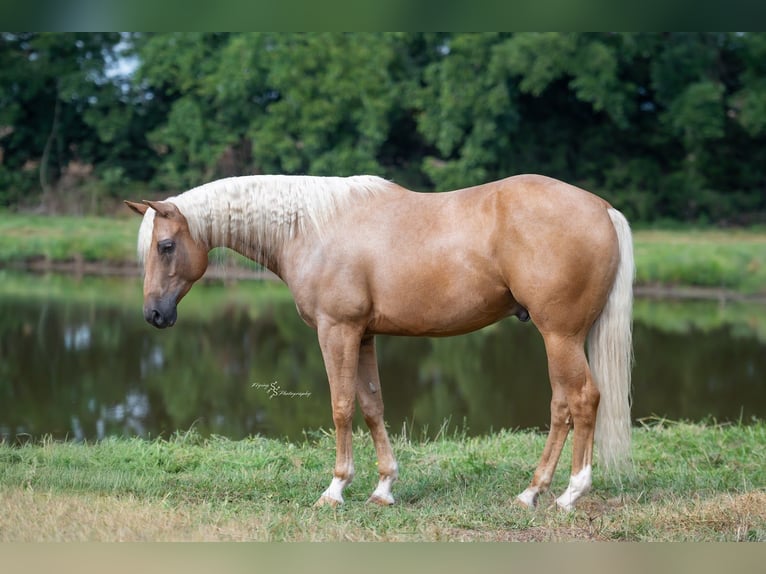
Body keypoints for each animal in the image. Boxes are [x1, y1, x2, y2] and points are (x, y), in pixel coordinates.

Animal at [126, 173, 633, 511]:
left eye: (165, 246)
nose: (154, 315)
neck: (311, 227)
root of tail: (602, 208)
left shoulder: (337, 331)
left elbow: (341, 407)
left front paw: (334, 490)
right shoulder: (364, 335)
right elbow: (372, 406)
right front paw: (383, 488)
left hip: (559, 335)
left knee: (580, 400)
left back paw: (565, 494)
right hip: (563, 338)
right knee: (564, 405)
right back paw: (534, 491)